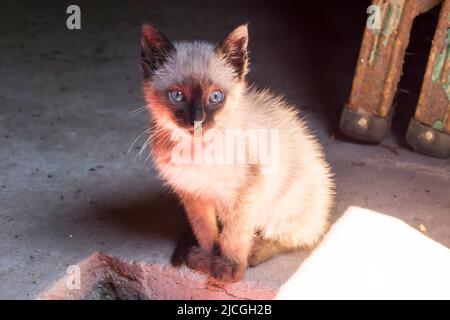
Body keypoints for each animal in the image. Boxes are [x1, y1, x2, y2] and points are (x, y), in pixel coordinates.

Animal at [141, 23, 334, 282]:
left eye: (216, 96)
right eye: (177, 95)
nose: (198, 119)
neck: (196, 151)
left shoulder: (245, 192)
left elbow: (235, 233)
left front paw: (230, 268)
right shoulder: (193, 194)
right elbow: (205, 230)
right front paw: (207, 256)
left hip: (285, 203)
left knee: (296, 235)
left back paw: (255, 251)